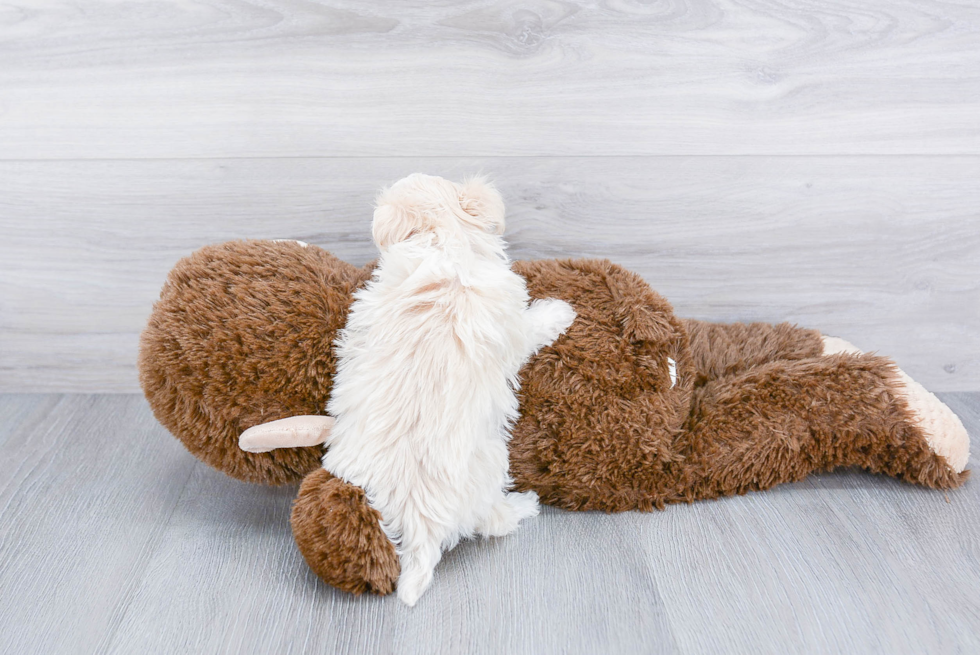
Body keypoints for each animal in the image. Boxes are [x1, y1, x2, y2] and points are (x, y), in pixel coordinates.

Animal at [324, 173, 576, 604]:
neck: (443, 239)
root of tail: (418, 522)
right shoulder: (511, 325)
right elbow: (532, 326)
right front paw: (559, 311)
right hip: (489, 470)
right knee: (494, 522)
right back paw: (524, 505)